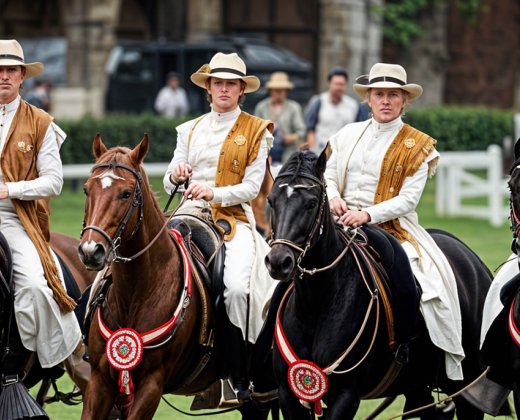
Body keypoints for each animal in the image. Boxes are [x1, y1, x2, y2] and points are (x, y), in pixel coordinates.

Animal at [77, 135, 274, 420]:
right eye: (86, 190)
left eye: (126, 193)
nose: (91, 251)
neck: (138, 290)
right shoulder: (100, 380)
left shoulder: (152, 384)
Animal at [266, 151, 494, 420]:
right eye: (271, 201)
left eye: (311, 203)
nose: (279, 262)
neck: (317, 302)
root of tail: (474, 261)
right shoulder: (288, 394)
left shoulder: (346, 395)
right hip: (417, 384)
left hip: (467, 385)